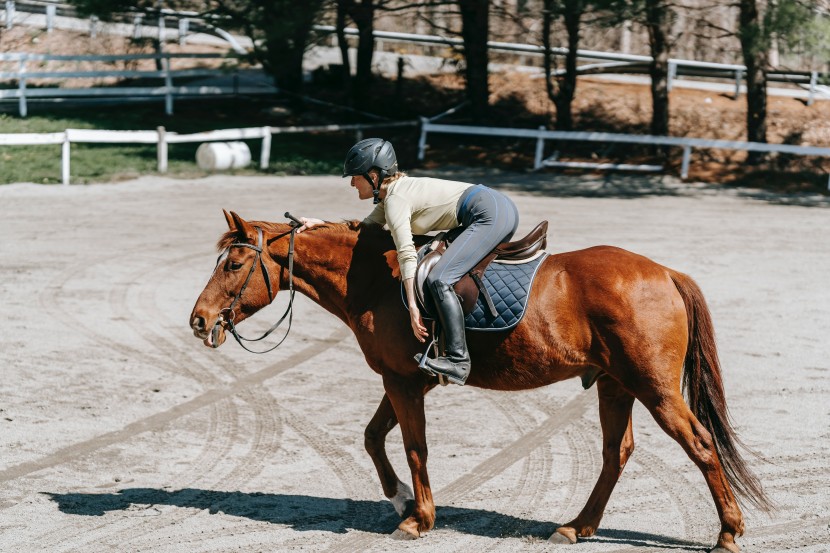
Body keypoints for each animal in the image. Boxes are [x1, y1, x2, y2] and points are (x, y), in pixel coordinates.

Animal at [190, 209, 772, 548]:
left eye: (234, 265)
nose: (199, 320)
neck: (375, 278)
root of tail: (666, 273)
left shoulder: (404, 383)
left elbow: (414, 446)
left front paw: (417, 518)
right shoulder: (403, 379)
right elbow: (374, 437)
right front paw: (400, 499)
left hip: (653, 388)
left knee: (699, 444)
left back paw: (727, 532)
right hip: (614, 385)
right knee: (617, 453)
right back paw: (577, 527)